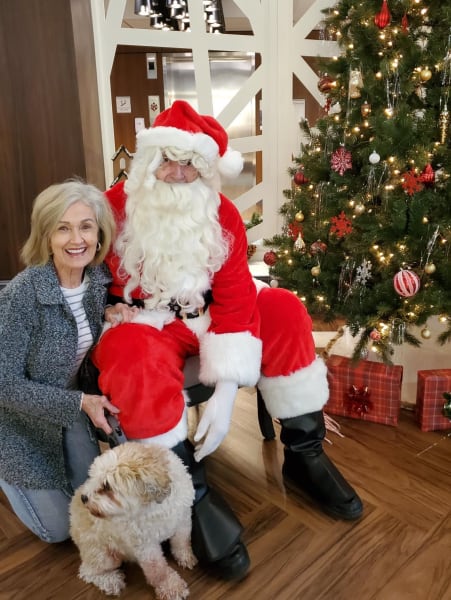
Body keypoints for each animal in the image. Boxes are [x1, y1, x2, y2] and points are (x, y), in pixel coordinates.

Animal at [69, 440, 197, 600]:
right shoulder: (145, 545)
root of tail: (71, 515)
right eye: (92, 478)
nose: (84, 498)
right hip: (103, 555)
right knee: (87, 572)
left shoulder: (183, 520)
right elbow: (158, 570)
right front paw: (172, 588)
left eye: (106, 486)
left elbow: (182, 542)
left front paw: (185, 556)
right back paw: (111, 581)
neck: (154, 507)